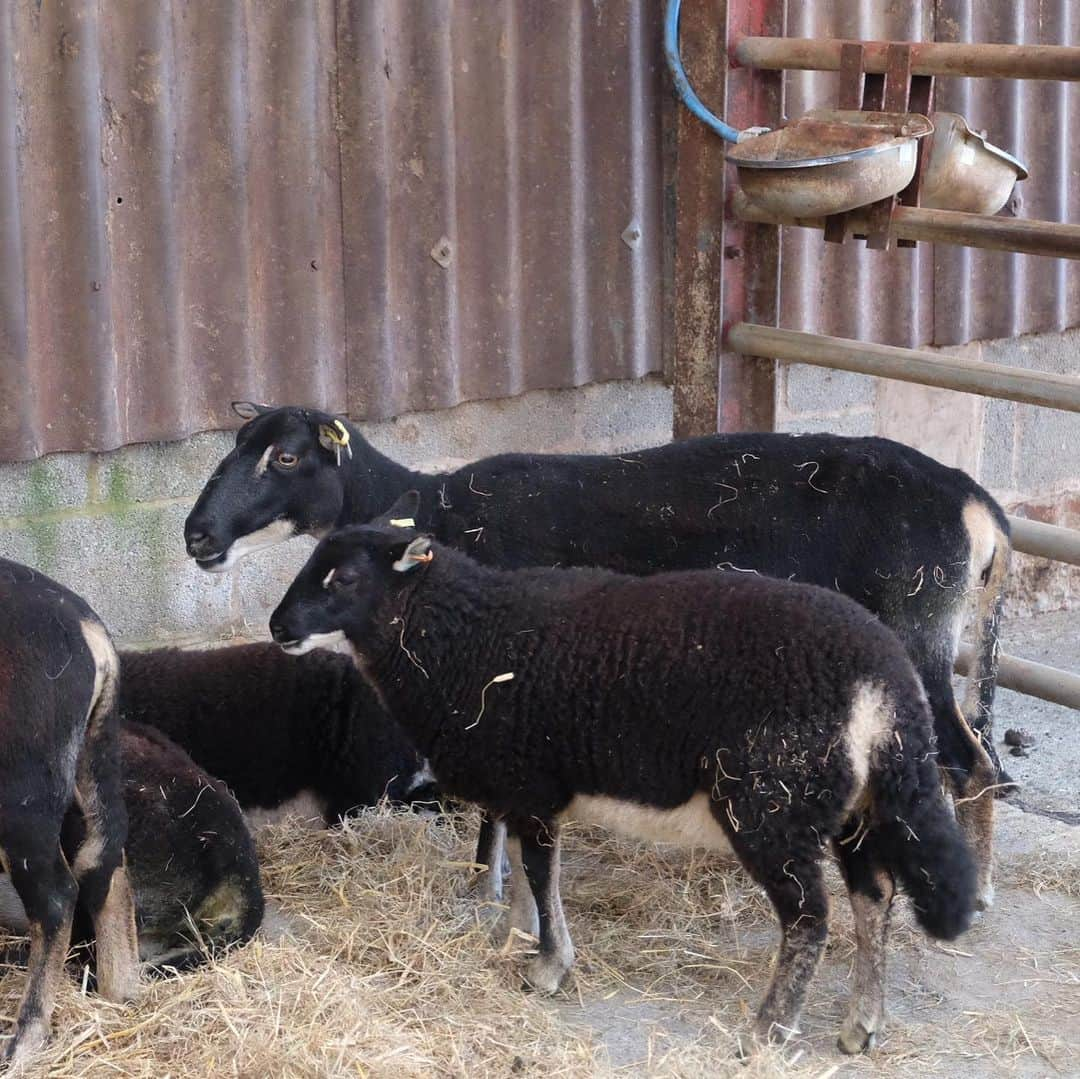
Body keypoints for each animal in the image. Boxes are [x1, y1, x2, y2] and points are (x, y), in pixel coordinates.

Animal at [267, 496, 980, 1054]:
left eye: (345, 577)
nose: (277, 627)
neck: (469, 640)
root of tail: (886, 681)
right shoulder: (520, 792)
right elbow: (523, 872)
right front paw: (517, 938)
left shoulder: (533, 786)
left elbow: (539, 873)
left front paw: (548, 969)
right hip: (852, 805)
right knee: (874, 898)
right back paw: (861, 1025)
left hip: (770, 801)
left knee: (810, 915)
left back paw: (768, 1031)